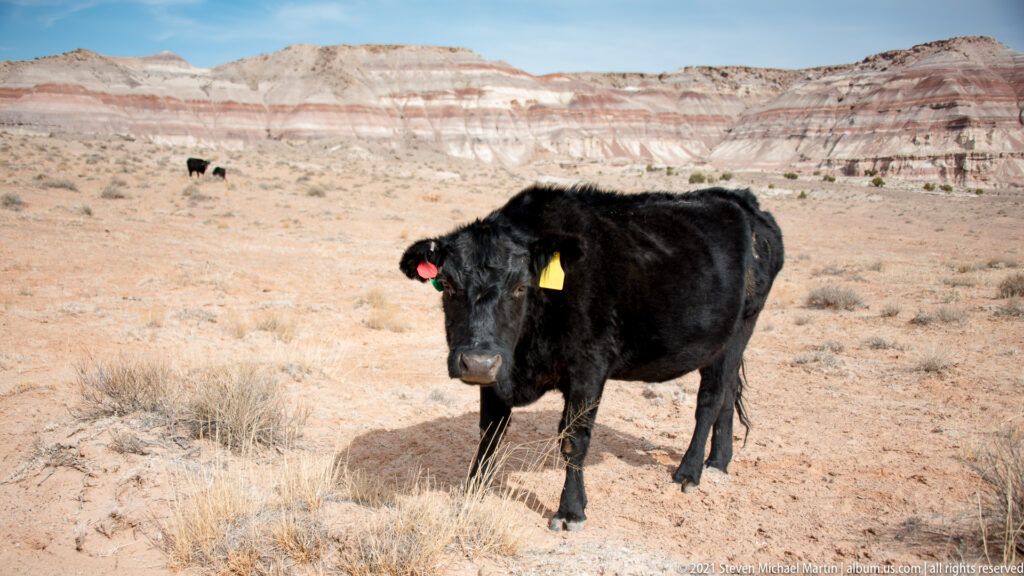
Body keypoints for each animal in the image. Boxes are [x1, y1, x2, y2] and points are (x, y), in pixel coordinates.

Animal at [399, 184, 784, 531]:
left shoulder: (588, 369)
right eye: (449, 286)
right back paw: (718, 461)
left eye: (520, 287)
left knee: (710, 399)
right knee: (728, 395)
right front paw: (475, 489)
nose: (478, 361)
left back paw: (689, 472)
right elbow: (490, 433)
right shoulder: (499, 373)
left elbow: (574, 439)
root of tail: (741, 199)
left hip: (738, 331)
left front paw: (571, 511)